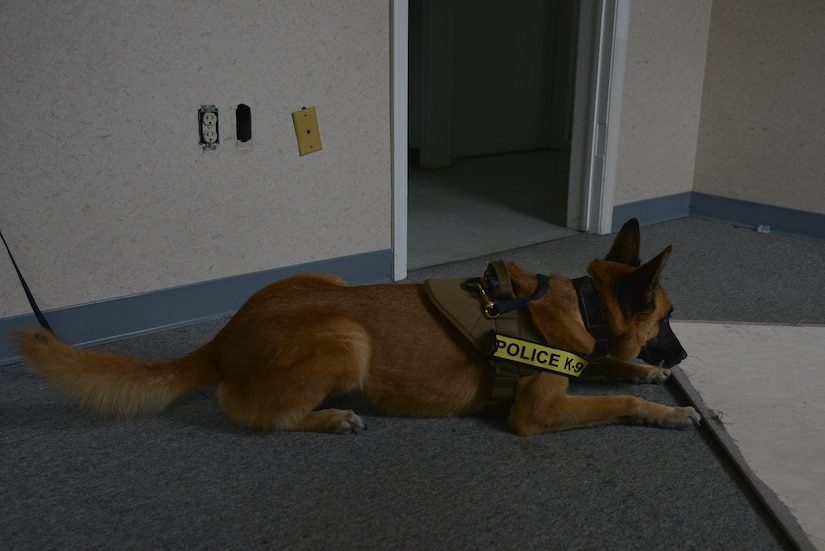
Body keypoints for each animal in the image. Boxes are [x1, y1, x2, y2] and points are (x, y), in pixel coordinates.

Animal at [12, 218, 700, 438]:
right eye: (669, 318)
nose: (685, 356)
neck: (584, 304)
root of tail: (227, 333)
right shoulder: (539, 412)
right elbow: (614, 399)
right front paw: (666, 410)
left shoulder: (586, 361)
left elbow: (611, 366)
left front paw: (646, 371)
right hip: (349, 339)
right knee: (251, 411)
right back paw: (330, 417)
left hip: (330, 284)